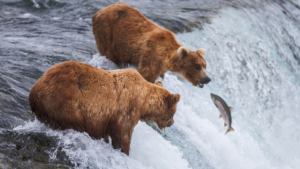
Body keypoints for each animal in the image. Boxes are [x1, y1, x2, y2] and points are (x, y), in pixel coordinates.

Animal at [29, 61, 180, 156]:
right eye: (173, 112)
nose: (172, 123)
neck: (144, 102)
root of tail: (35, 90)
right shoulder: (127, 108)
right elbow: (122, 135)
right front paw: (124, 151)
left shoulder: (105, 119)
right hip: (64, 104)